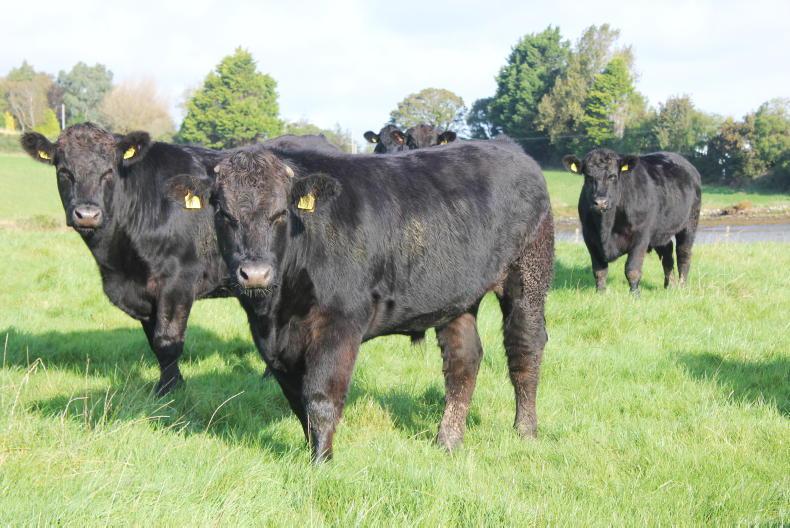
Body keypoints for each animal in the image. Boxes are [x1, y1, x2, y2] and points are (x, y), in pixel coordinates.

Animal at [21, 123, 234, 396]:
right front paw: (172, 384)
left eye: (109, 172)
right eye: (64, 172)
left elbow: (167, 340)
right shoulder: (144, 292)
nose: (87, 214)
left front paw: (169, 391)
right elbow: (154, 342)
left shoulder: (179, 281)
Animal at [168, 137, 555, 462]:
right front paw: (311, 451)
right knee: (463, 361)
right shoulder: (273, 342)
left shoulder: (339, 323)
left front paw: (321, 463)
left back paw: (525, 431)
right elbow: (297, 400)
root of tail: (508, 146)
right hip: (458, 297)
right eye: (223, 213)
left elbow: (321, 398)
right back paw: (447, 441)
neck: (277, 310)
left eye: (280, 213)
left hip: (529, 272)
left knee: (525, 349)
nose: (256, 274)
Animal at [562, 148, 701, 295]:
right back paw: (669, 285)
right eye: (588, 176)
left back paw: (681, 286)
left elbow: (632, 269)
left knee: (683, 253)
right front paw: (600, 293)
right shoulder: (589, 237)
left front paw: (634, 294)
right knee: (667, 252)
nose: (600, 202)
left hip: (690, 222)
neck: (606, 228)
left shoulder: (641, 236)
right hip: (661, 230)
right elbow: (599, 270)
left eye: (613, 176)